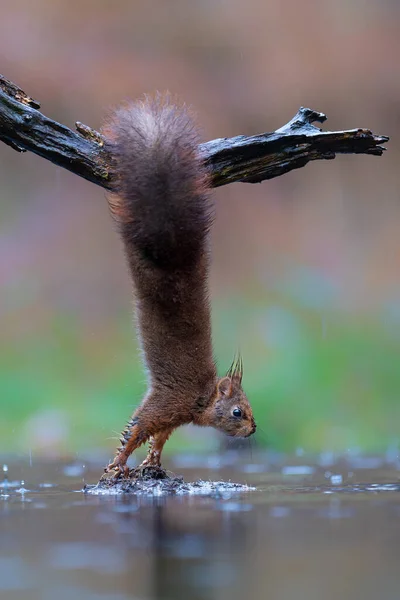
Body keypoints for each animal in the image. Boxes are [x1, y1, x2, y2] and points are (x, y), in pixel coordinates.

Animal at [101, 95, 255, 478]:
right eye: (238, 412)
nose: (253, 429)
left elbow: (159, 439)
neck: (201, 400)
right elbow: (137, 429)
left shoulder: (172, 418)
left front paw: (152, 462)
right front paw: (118, 464)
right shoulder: (169, 402)